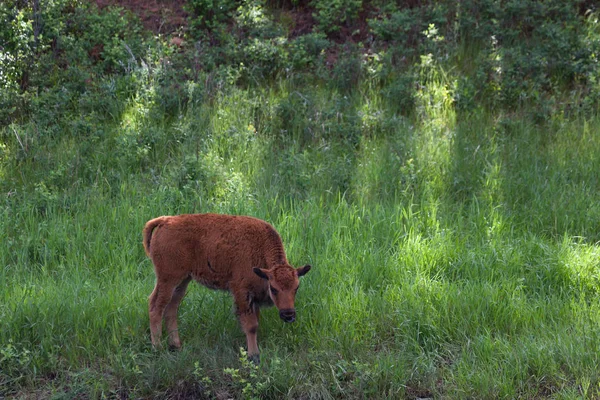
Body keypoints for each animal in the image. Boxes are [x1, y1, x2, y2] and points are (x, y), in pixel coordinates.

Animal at [142, 214, 310, 364]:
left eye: (296, 288)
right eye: (273, 289)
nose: (288, 315)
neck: (260, 247)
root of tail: (166, 220)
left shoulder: (253, 298)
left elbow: (254, 322)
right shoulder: (242, 292)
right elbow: (251, 325)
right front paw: (254, 356)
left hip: (182, 281)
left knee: (171, 308)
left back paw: (175, 346)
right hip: (168, 280)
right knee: (155, 306)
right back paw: (158, 348)